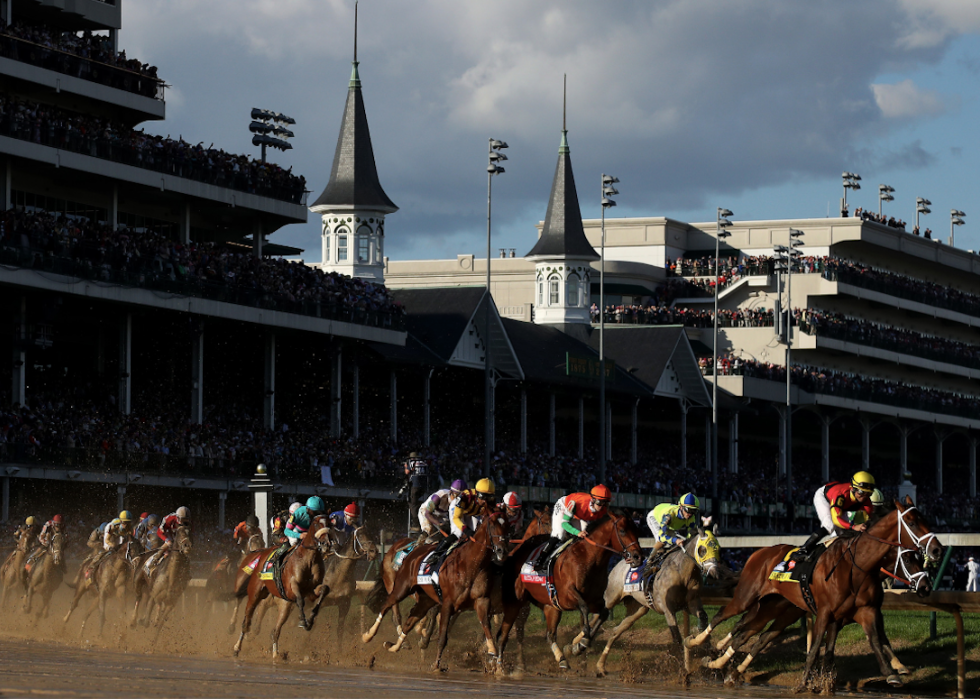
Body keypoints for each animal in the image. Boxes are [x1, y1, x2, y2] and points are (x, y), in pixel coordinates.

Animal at [234, 516, 334, 660]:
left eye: (330, 524)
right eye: (316, 524)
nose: (326, 544)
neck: (309, 560)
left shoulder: (310, 591)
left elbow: (324, 590)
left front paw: (310, 620)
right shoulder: (292, 587)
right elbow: (299, 599)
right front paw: (303, 620)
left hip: (284, 605)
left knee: (275, 631)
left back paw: (276, 655)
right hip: (254, 594)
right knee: (246, 622)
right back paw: (237, 647)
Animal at [364, 516, 510, 672]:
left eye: (508, 527)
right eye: (493, 526)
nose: (502, 551)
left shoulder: (477, 601)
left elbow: (482, 624)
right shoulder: (444, 601)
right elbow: (439, 628)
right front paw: (432, 656)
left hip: (421, 596)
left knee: (409, 619)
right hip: (396, 586)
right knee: (391, 610)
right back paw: (371, 636)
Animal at [494, 516, 648, 672]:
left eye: (636, 530)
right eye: (622, 530)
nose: (638, 557)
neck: (588, 557)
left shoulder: (595, 600)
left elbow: (602, 614)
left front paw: (576, 647)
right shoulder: (567, 596)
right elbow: (584, 609)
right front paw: (582, 643)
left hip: (550, 606)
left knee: (550, 635)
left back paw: (562, 659)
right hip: (514, 602)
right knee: (503, 634)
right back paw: (499, 667)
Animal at [584, 532, 732, 680]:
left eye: (718, 549)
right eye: (703, 550)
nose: (715, 573)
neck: (681, 572)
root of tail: (621, 563)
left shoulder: (691, 603)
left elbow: (703, 617)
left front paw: (702, 646)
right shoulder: (668, 609)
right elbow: (677, 638)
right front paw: (682, 672)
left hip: (638, 609)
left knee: (616, 631)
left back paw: (600, 666)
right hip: (611, 598)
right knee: (595, 617)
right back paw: (580, 645)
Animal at [688, 500, 940, 692]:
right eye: (912, 522)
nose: (936, 549)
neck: (856, 567)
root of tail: (759, 553)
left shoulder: (863, 612)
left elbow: (873, 641)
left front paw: (892, 673)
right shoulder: (826, 613)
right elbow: (816, 648)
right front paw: (803, 684)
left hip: (778, 608)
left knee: (756, 636)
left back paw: (725, 665)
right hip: (747, 597)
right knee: (724, 616)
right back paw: (696, 643)